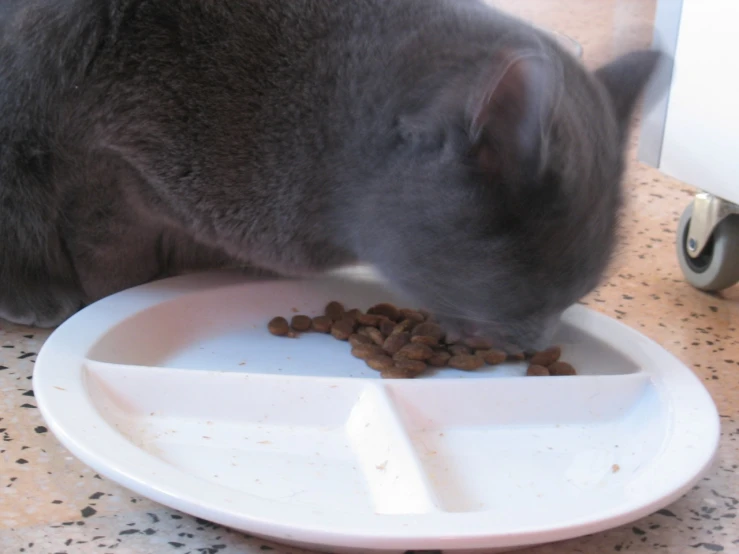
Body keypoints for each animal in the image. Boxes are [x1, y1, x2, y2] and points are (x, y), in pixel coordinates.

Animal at [0, 0, 668, 350]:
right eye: (528, 287)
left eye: (580, 292)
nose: (535, 345)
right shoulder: (105, 162)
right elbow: (111, 253)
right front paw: (117, 299)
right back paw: (35, 296)